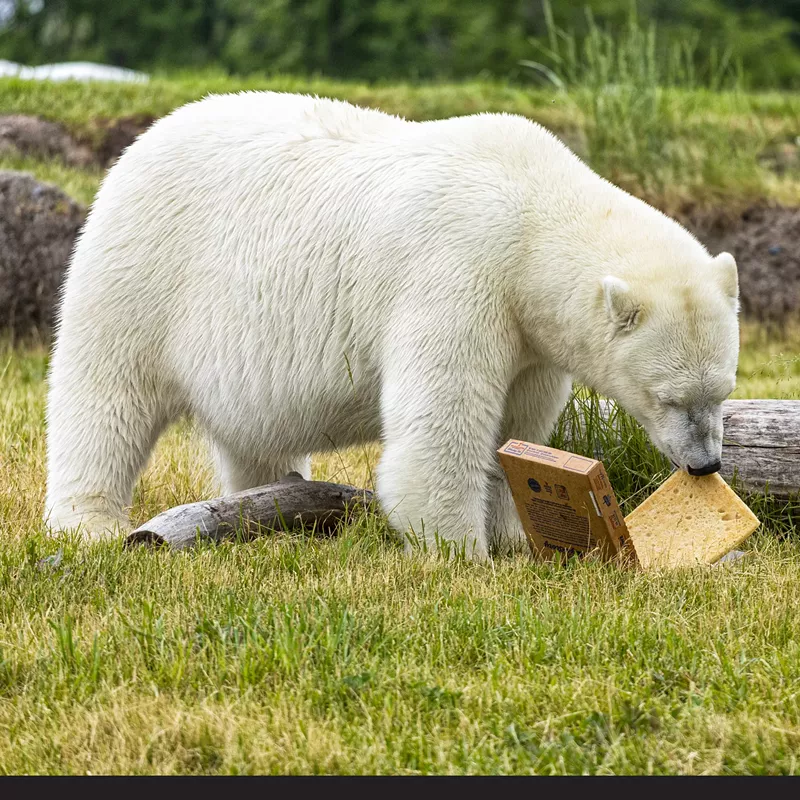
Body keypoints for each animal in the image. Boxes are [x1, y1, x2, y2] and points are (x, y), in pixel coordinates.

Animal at [45, 90, 736, 560]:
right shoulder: (460, 275)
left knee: (252, 433)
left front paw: (518, 536)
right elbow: (445, 418)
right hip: (142, 269)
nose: (706, 465)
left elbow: (520, 421)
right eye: (668, 398)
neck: (530, 212)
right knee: (107, 395)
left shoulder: (530, 334)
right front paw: (462, 552)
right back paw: (90, 522)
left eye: (722, 392)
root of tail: (138, 145)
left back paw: (263, 503)